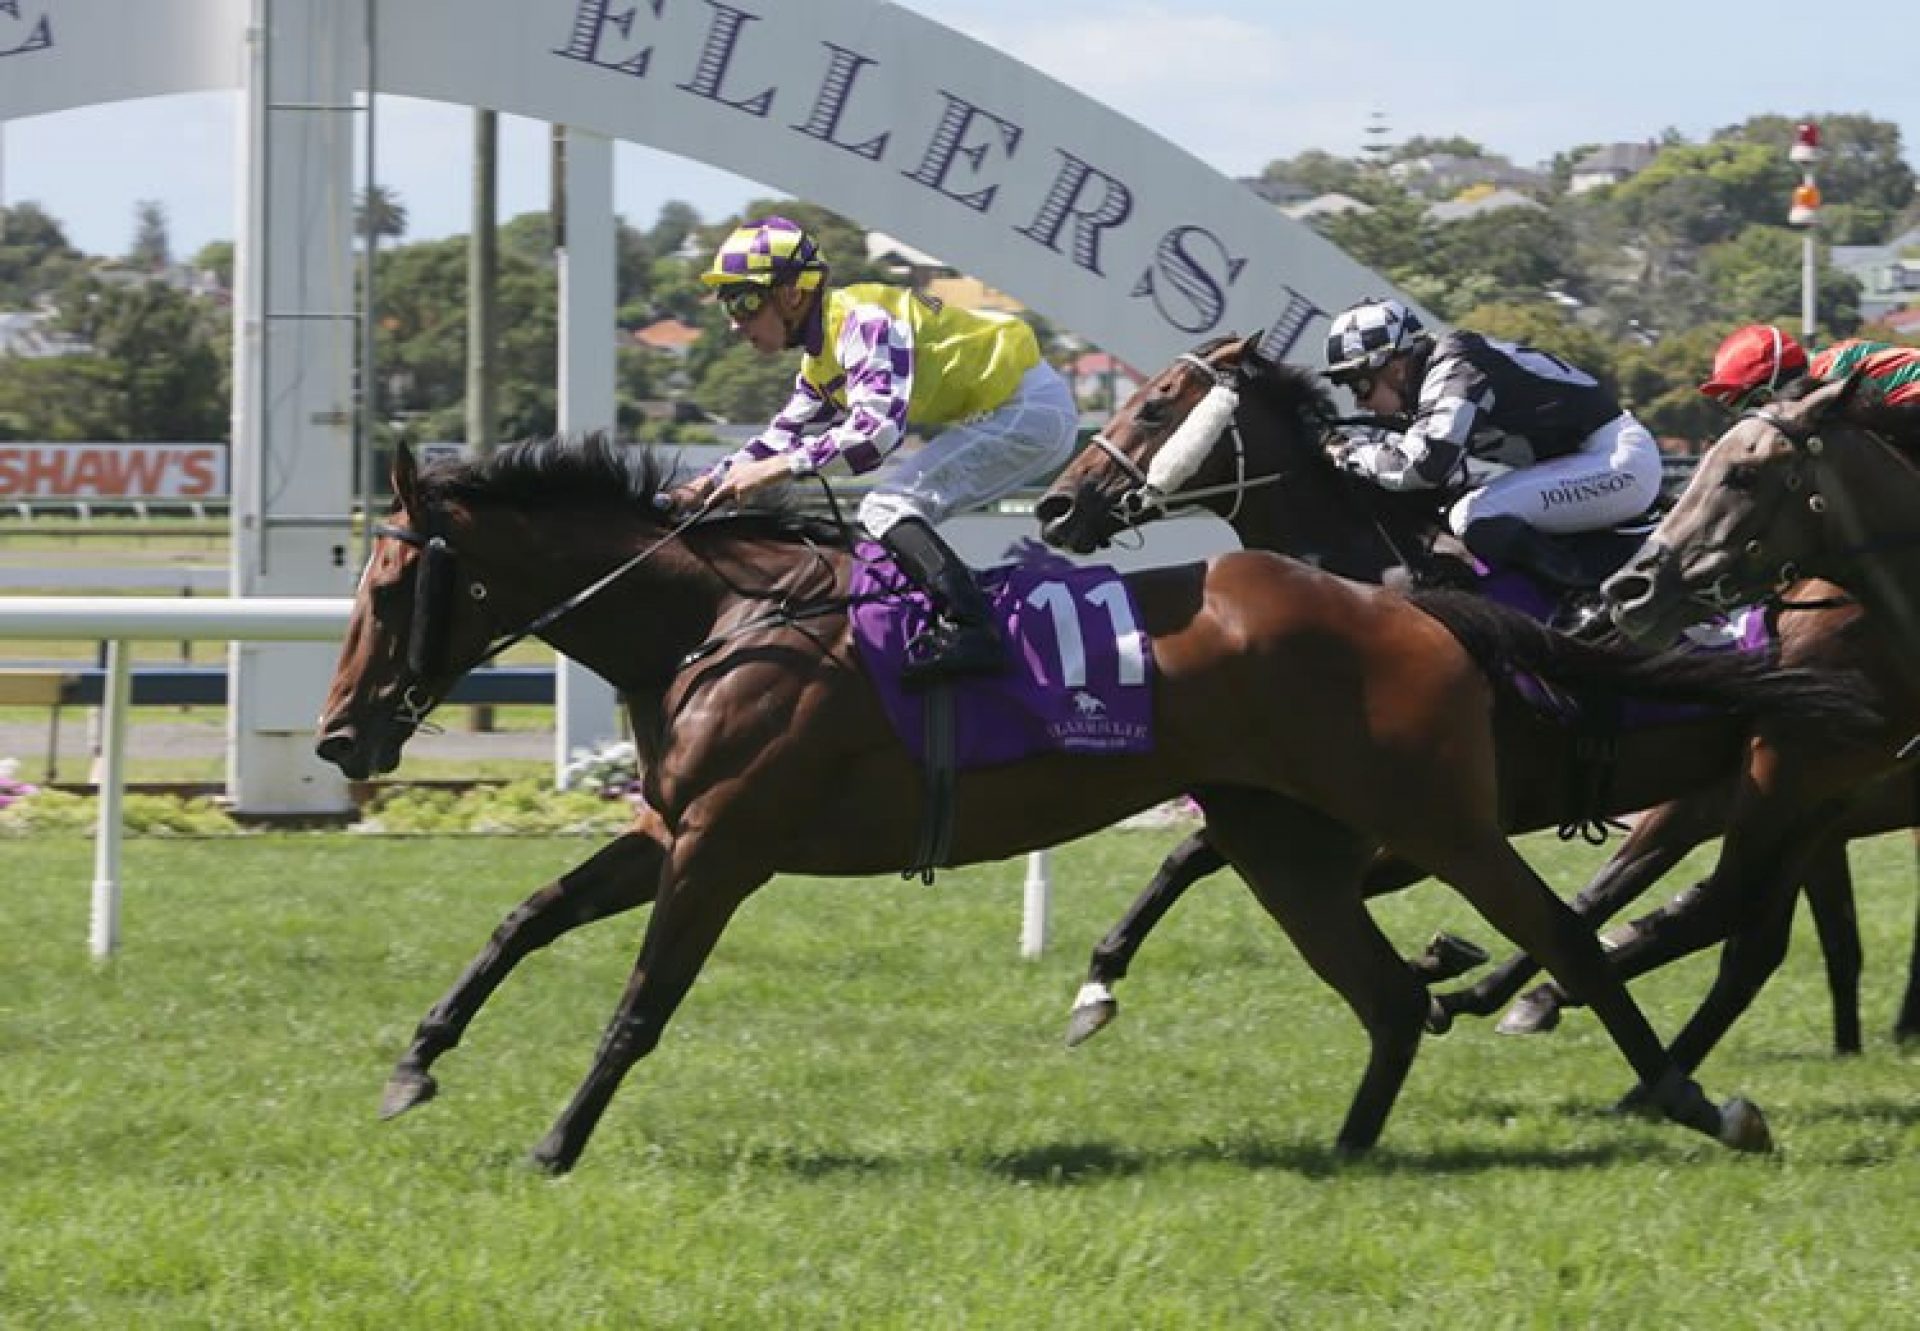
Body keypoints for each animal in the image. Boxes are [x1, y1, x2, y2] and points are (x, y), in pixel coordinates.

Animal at [318, 437, 1858, 1175]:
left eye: (390, 584)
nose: (341, 735)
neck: (723, 618)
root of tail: (1416, 606)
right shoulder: (670, 831)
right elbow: (524, 918)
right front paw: (413, 1064)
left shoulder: (728, 845)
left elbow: (639, 1002)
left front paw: (556, 1139)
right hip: (1279, 834)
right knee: (1384, 992)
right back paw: (1348, 1150)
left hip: (1438, 818)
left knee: (1571, 936)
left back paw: (1693, 1097)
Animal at [1036, 339, 1920, 1060]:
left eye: (1156, 402)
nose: (1055, 505)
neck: (1377, 577)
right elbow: (1189, 855)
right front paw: (1096, 984)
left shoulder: (1417, 800)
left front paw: (1437, 969)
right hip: (1774, 792)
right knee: (1728, 925)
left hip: (1784, 773)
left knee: (1721, 916)